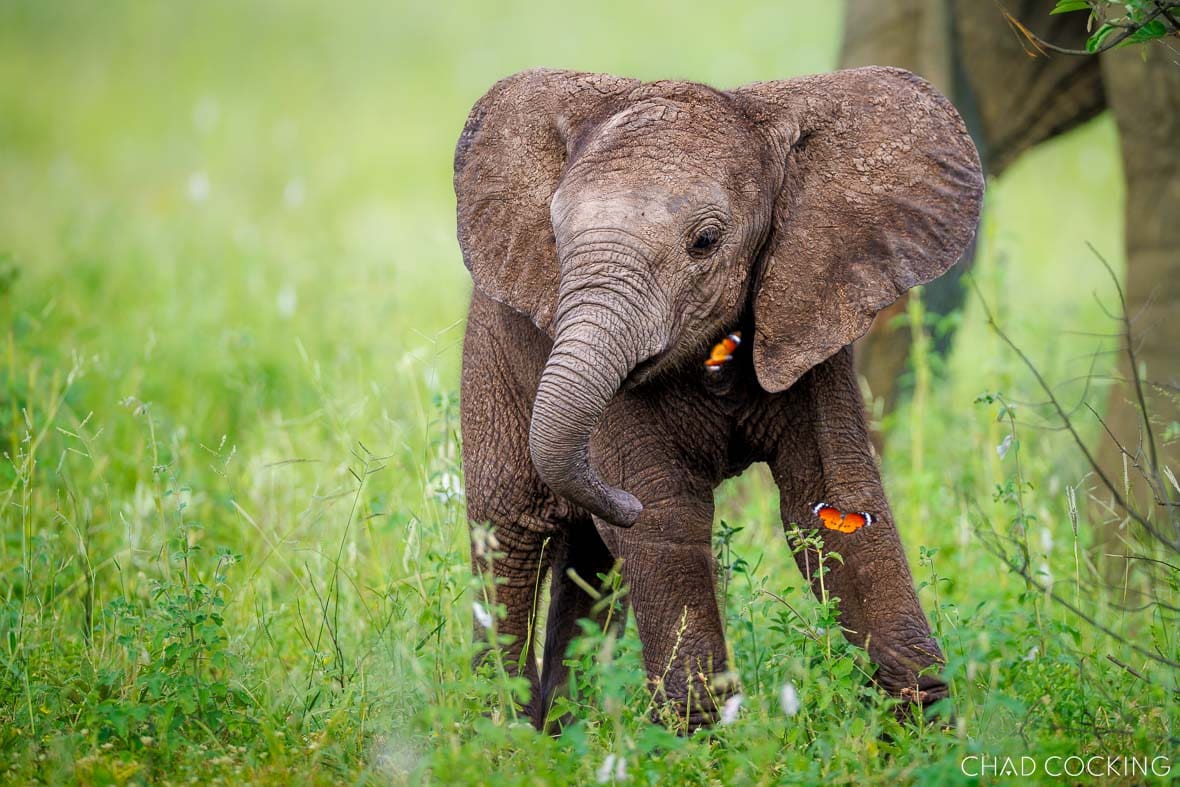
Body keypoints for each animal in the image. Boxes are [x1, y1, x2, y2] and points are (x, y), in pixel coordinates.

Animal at [453, 66, 984, 730]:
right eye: (554, 239)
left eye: (705, 241)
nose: (617, 502)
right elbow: (665, 516)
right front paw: (700, 738)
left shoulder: (812, 311)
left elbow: (836, 509)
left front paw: (925, 729)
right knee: (510, 536)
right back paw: (504, 735)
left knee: (592, 566)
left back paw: (567, 729)